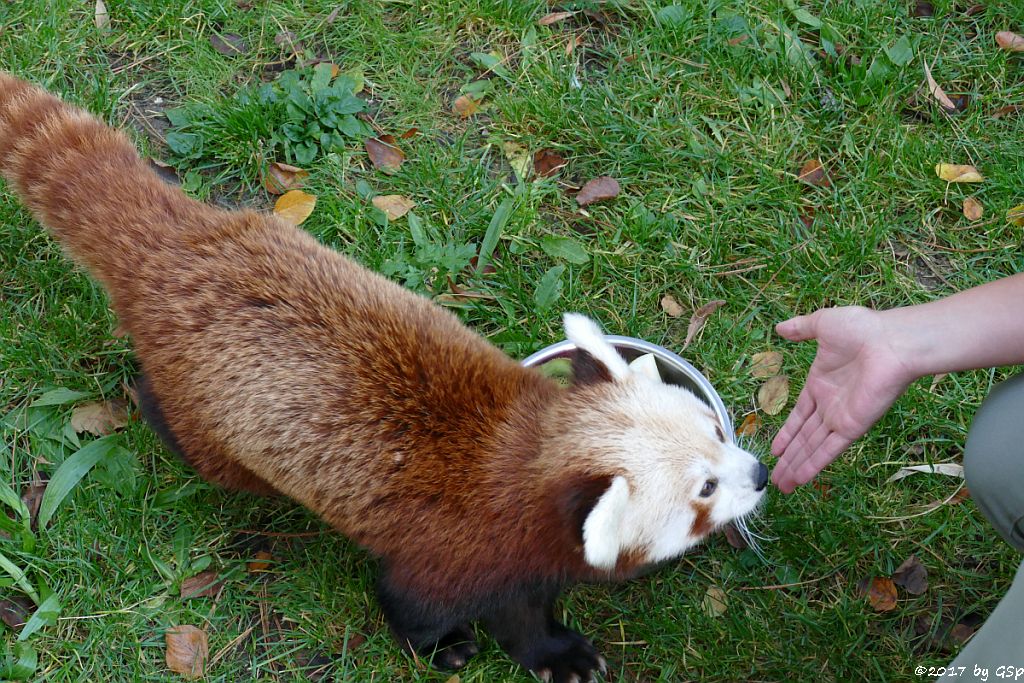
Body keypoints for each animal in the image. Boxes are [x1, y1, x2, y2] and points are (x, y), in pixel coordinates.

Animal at [0, 72, 770, 679]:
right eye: (704, 489)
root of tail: (185, 243)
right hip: (209, 421)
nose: (761, 473)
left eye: (715, 430)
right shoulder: (458, 549)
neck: (526, 456)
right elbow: (421, 603)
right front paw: (479, 649)